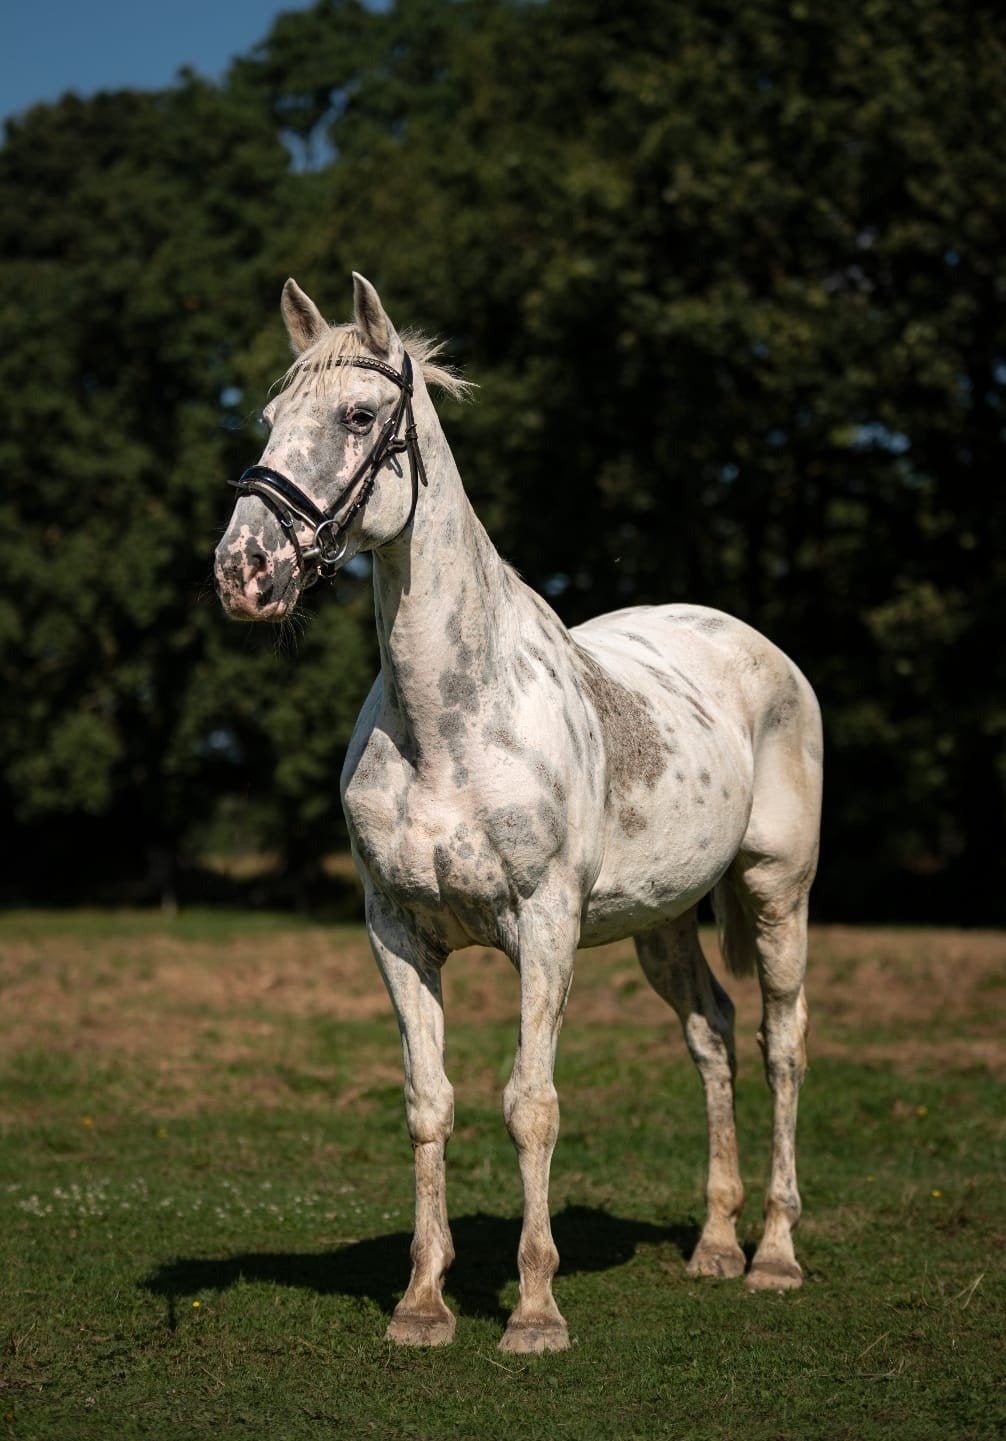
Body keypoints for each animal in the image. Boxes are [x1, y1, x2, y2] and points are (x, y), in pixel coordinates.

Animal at [214, 273, 823, 1354]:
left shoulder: (543, 926)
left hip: (775, 894)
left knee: (778, 1044)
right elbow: (429, 1105)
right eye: (270, 417)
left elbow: (529, 1105)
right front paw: (422, 1304)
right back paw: (715, 1245)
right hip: (663, 922)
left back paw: (775, 1257)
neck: (448, 724)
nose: (243, 571)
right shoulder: (396, 932)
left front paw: (536, 1312)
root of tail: (755, 646)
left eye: (359, 416)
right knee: (711, 1035)